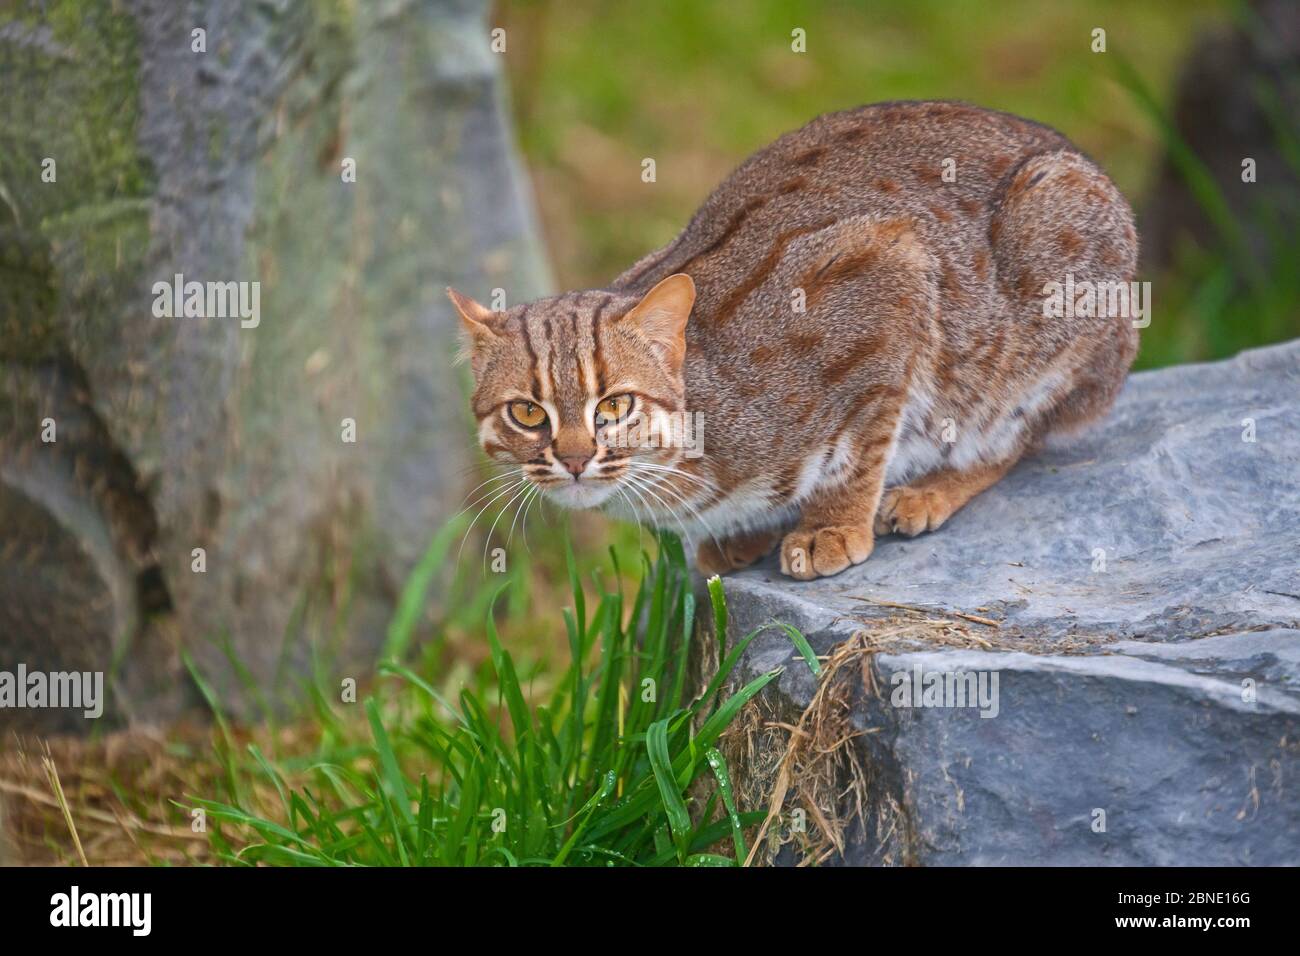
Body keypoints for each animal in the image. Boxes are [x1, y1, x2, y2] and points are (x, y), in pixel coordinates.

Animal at [449, 102, 1138, 582]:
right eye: (527, 413)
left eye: (615, 405)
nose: (572, 460)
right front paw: (742, 532)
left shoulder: (892, 269)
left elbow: (862, 444)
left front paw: (830, 526)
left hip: (1052, 261)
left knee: (1020, 431)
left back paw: (930, 487)